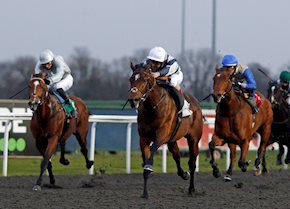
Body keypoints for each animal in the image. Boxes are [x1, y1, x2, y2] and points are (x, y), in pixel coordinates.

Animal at [128, 62, 203, 198]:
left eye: (145, 79)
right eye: (130, 79)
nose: (133, 99)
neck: (153, 107)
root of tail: (196, 103)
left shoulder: (161, 136)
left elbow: (152, 151)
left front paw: (148, 168)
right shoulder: (144, 138)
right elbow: (146, 158)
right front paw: (145, 193)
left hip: (194, 139)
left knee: (192, 163)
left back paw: (191, 189)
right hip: (172, 140)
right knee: (177, 155)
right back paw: (184, 174)